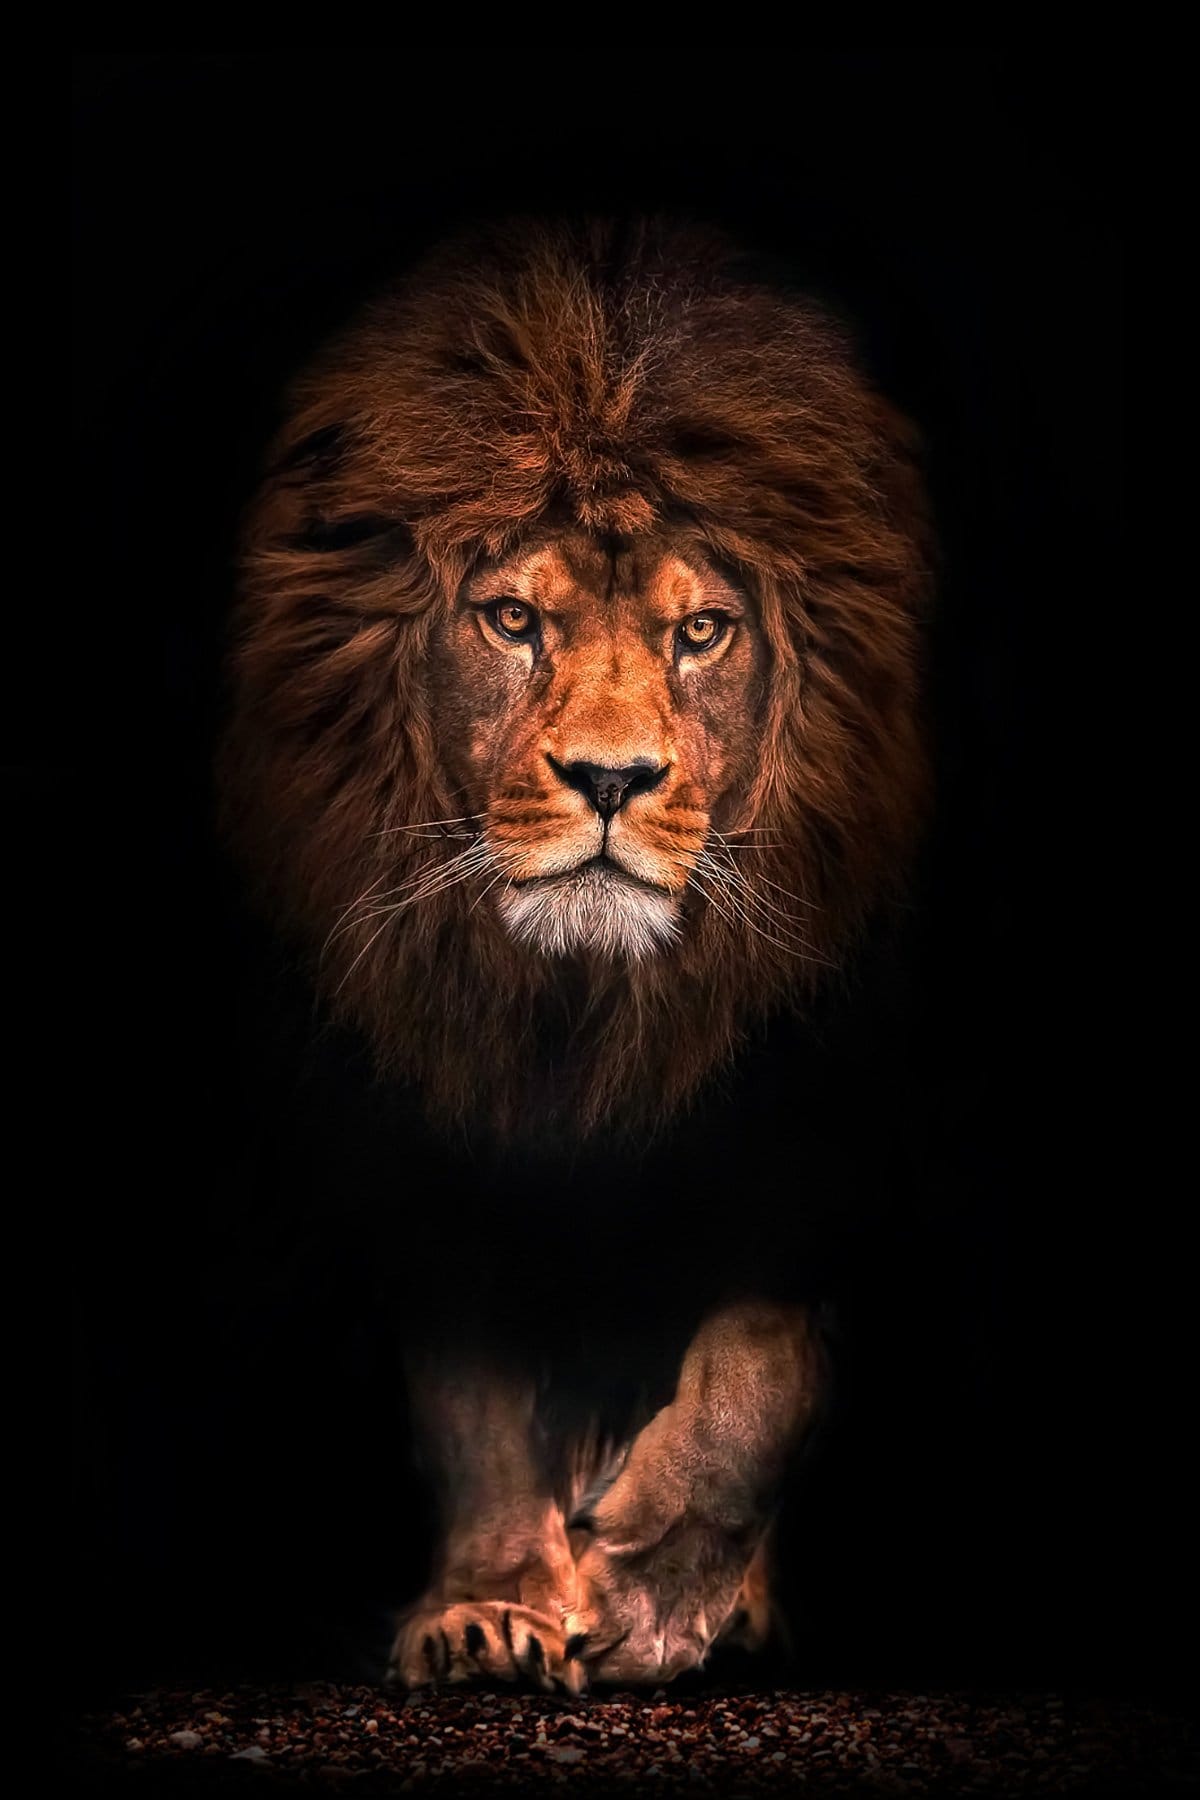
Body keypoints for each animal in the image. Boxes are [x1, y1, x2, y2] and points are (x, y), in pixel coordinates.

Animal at [222, 218, 930, 1690]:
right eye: (511, 619)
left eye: (702, 630)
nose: (611, 778)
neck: (581, 1014)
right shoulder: (423, 1130)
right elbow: (473, 1395)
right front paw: (492, 1606)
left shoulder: (830, 1119)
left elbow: (764, 1360)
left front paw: (655, 1590)